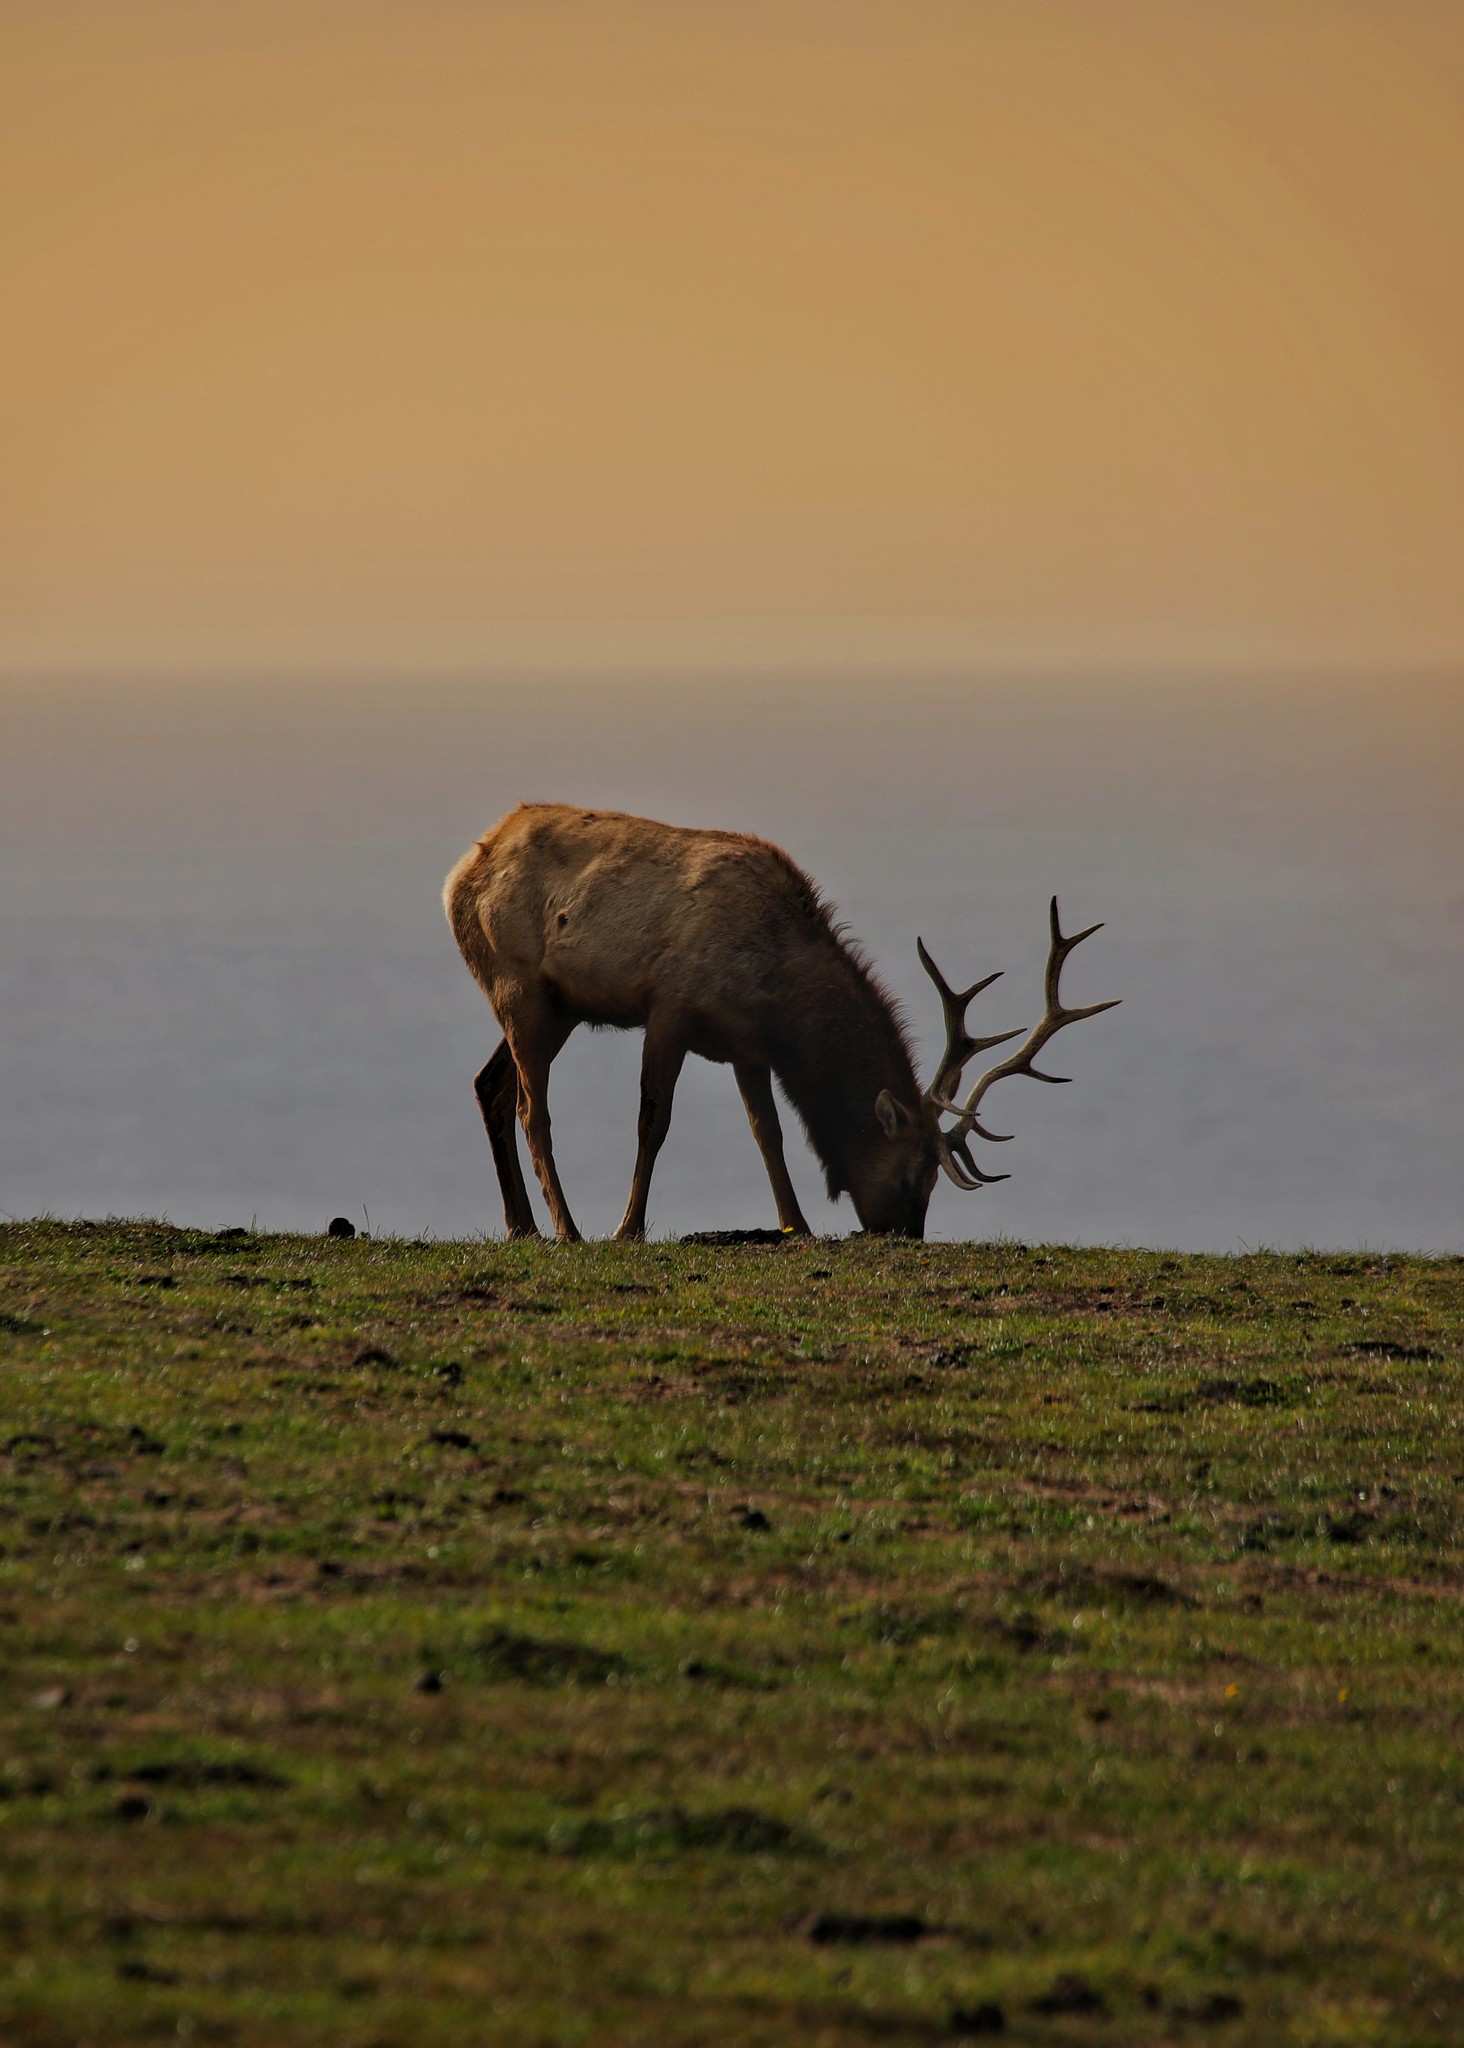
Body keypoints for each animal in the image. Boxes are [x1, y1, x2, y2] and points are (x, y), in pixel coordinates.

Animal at [440, 806, 1113, 1236]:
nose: (904, 1235)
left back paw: (521, 1226)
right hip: (518, 982)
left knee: (489, 1086)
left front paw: (796, 1224)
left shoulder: (747, 1046)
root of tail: (459, 873)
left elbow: (769, 1133)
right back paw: (567, 1229)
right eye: (915, 1174)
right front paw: (627, 1229)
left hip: (559, 1008)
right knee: (532, 1108)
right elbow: (653, 1122)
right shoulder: (670, 1007)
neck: (778, 998)